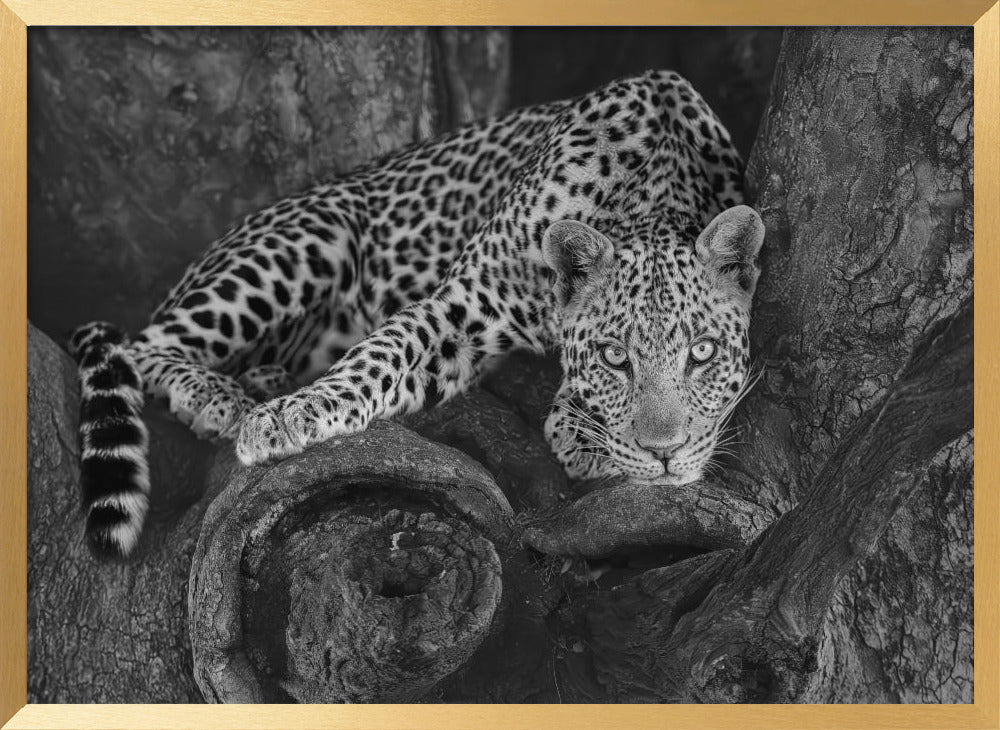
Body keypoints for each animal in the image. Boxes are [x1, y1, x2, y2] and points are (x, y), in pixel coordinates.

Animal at [70, 70, 764, 560]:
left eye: (702, 353)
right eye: (616, 358)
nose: (666, 454)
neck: (648, 190)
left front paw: (581, 428)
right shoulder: (463, 304)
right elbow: (380, 355)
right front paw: (288, 419)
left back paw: (264, 379)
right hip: (309, 237)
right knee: (141, 345)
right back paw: (223, 399)